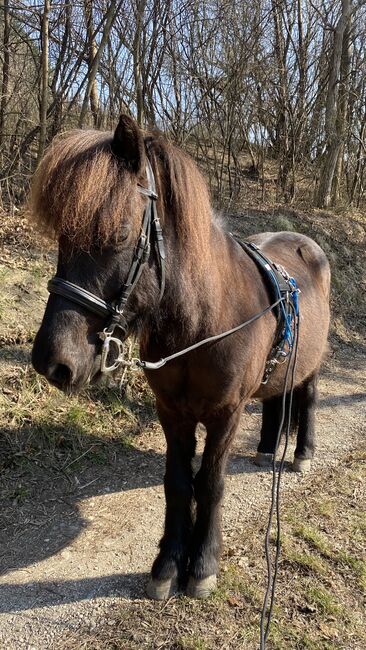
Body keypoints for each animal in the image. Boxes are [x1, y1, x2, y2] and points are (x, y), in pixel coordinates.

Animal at [30, 114, 330, 600]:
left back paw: (302, 452)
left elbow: (209, 483)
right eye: (62, 236)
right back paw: (267, 448)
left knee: (307, 399)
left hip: (313, 366)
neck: (204, 322)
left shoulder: (226, 415)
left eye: (119, 233)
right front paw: (169, 564)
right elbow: (177, 482)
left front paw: (202, 564)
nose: (51, 360)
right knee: (274, 401)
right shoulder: (171, 411)